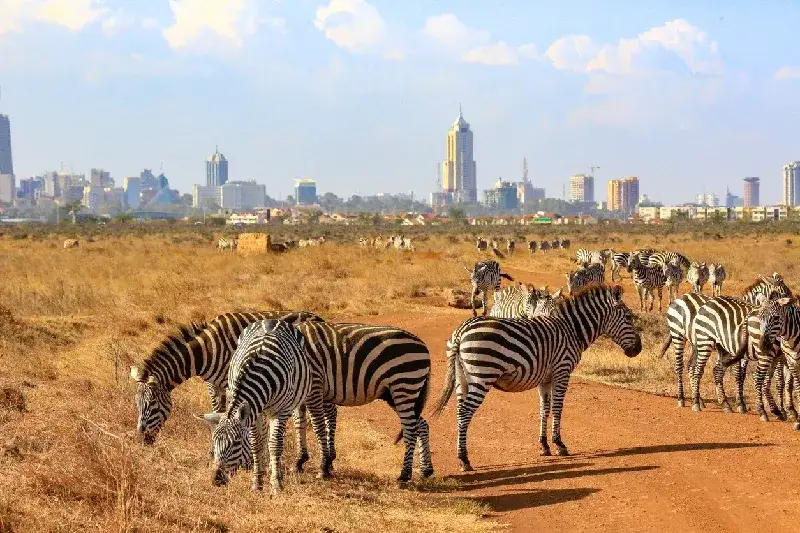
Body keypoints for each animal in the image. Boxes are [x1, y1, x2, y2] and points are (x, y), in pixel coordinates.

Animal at [130, 310, 324, 449]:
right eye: (137, 404)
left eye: (152, 404)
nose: (142, 440)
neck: (205, 352)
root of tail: (318, 317)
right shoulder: (214, 385)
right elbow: (217, 412)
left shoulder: (231, 384)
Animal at [200, 319, 314, 492]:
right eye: (214, 442)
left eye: (235, 443)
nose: (215, 480)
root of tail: (272, 320)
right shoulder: (253, 411)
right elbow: (256, 443)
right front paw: (257, 482)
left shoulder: (280, 411)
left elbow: (275, 445)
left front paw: (276, 484)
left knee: (284, 433)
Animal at [431, 285, 641, 470]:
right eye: (629, 317)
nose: (638, 350)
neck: (572, 330)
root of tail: (461, 331)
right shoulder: (562, 371)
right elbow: (557, 408)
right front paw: (559, 445)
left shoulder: (545, 378)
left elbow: (544, 410)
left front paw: (544, 446)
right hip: (482, 375)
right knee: (465, 412)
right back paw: (464, 459)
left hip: (462, 378)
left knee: (459, 411)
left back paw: (462, 455)